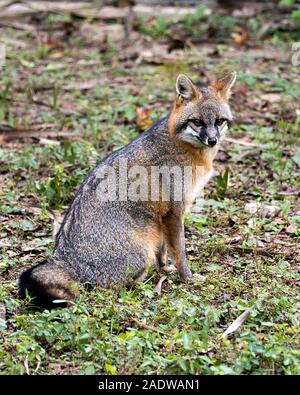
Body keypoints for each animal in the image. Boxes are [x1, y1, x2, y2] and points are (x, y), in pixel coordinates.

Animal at [19, 71, 237, 308]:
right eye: (197, 122)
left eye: (219, 121)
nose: (212, 140)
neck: (182, 146)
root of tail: (65, 261)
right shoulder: (174, 212)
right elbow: (179, 252)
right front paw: (187, 278)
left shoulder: (162, 217)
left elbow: (163, 250)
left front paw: (164, 269)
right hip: (142, 253)